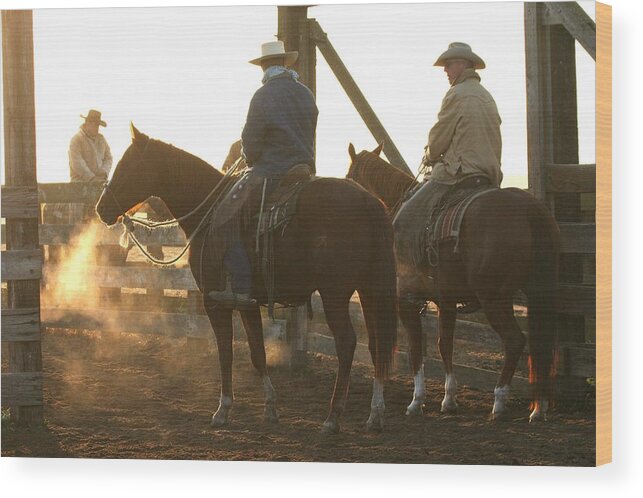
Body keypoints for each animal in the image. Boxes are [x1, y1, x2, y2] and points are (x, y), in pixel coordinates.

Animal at [95, 126, 398, 434]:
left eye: (127, 165)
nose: (100, 208)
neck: (208, 210)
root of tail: (368, 202)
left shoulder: (214, 300)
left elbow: (225, 352)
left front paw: (223, 409)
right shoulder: (247, 302)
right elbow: (257, 353)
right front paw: (270, 407)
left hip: (335, 293)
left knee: (347, 342)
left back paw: (333, 417)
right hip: (370, 290)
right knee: (377, 344)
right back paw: (375, 414)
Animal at [344, 142, 560, 422]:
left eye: (349, 177)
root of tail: (528, 208)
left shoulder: (406, 299)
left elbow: (416, 348)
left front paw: (416, 401)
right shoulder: (445, 301)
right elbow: (444, 345)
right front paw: (448, 399)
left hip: (494, 298)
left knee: (515, 341)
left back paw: (499, 402)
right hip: (536, 291)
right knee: (540, 344)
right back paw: (539, 407)